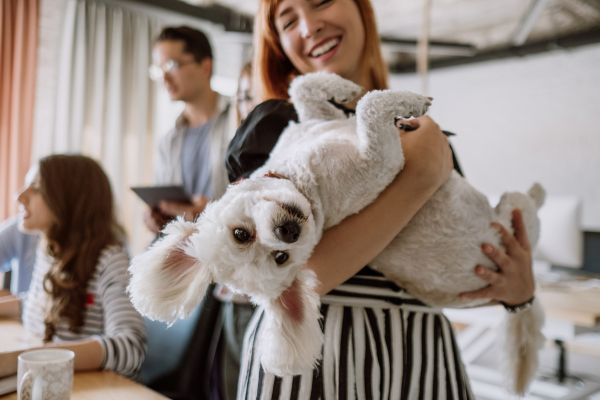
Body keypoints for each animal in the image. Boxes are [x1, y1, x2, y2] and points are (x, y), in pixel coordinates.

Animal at [129, 72, 548, 394]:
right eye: (281, 258)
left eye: (240, 234)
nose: (288, 231)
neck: (302, 175)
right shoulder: (383, 162)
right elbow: (370, 108)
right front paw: (409, 101)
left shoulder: (317, 122)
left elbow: (305, 89)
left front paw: (344, 87)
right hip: (513, 217)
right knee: (525, 207)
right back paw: (538, 191)